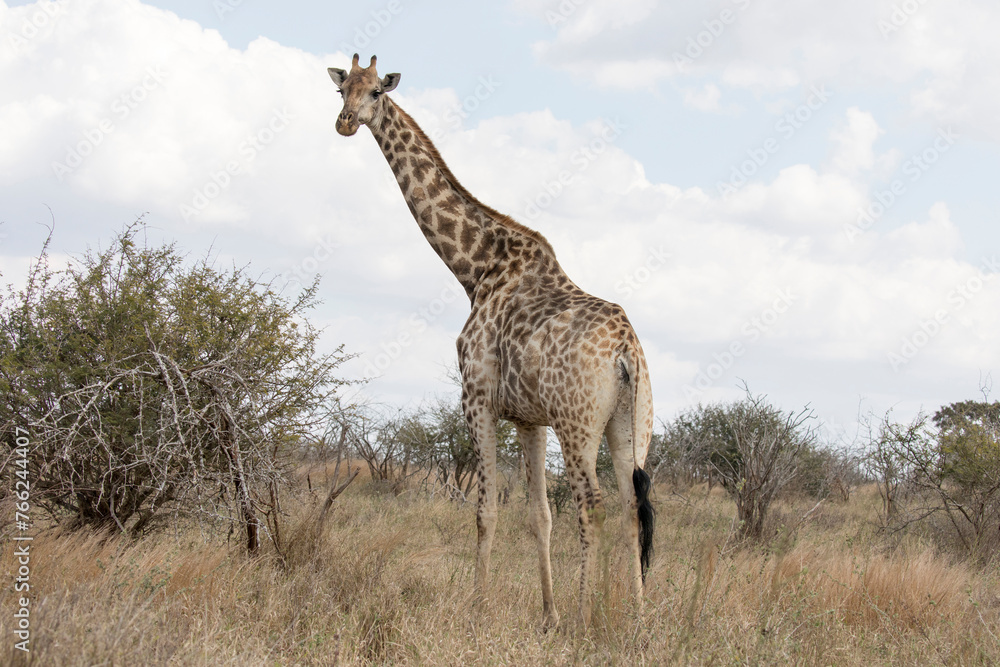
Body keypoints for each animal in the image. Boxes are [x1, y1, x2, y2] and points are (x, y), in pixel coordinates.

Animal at [328, 54, 655, 630]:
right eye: (342, 88)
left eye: (376, 94)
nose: (345, 122)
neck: (474, 269)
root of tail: (626, 351)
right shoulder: (529, 418)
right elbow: (538, 515)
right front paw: (546, 616)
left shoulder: (477, 397)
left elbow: (485, 510)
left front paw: (478, 607)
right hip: (631, 425)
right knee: (631, 505)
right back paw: (635, 618)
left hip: (578, 421)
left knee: (591, 502)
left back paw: (585, 616)